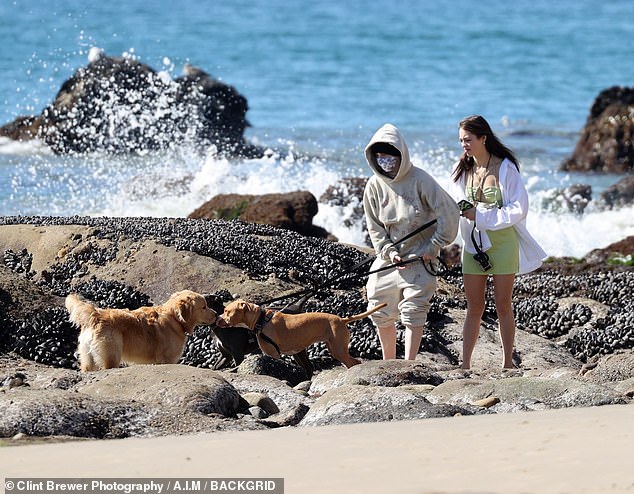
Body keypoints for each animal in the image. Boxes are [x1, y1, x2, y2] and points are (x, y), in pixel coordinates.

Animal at [65, 290, 215, 370]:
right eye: (204, 307)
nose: (216, 314)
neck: (174, 318)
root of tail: (96, 315)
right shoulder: (167, 360)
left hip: (87, 359)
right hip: (111, 356)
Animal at [217, 300, 386, 368]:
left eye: (227, 311)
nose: (217, 318)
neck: (261, 320)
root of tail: (341, 319)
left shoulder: (274, 354)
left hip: (338, 349)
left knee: (353, 362)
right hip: (335, 348)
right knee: (354, 362)